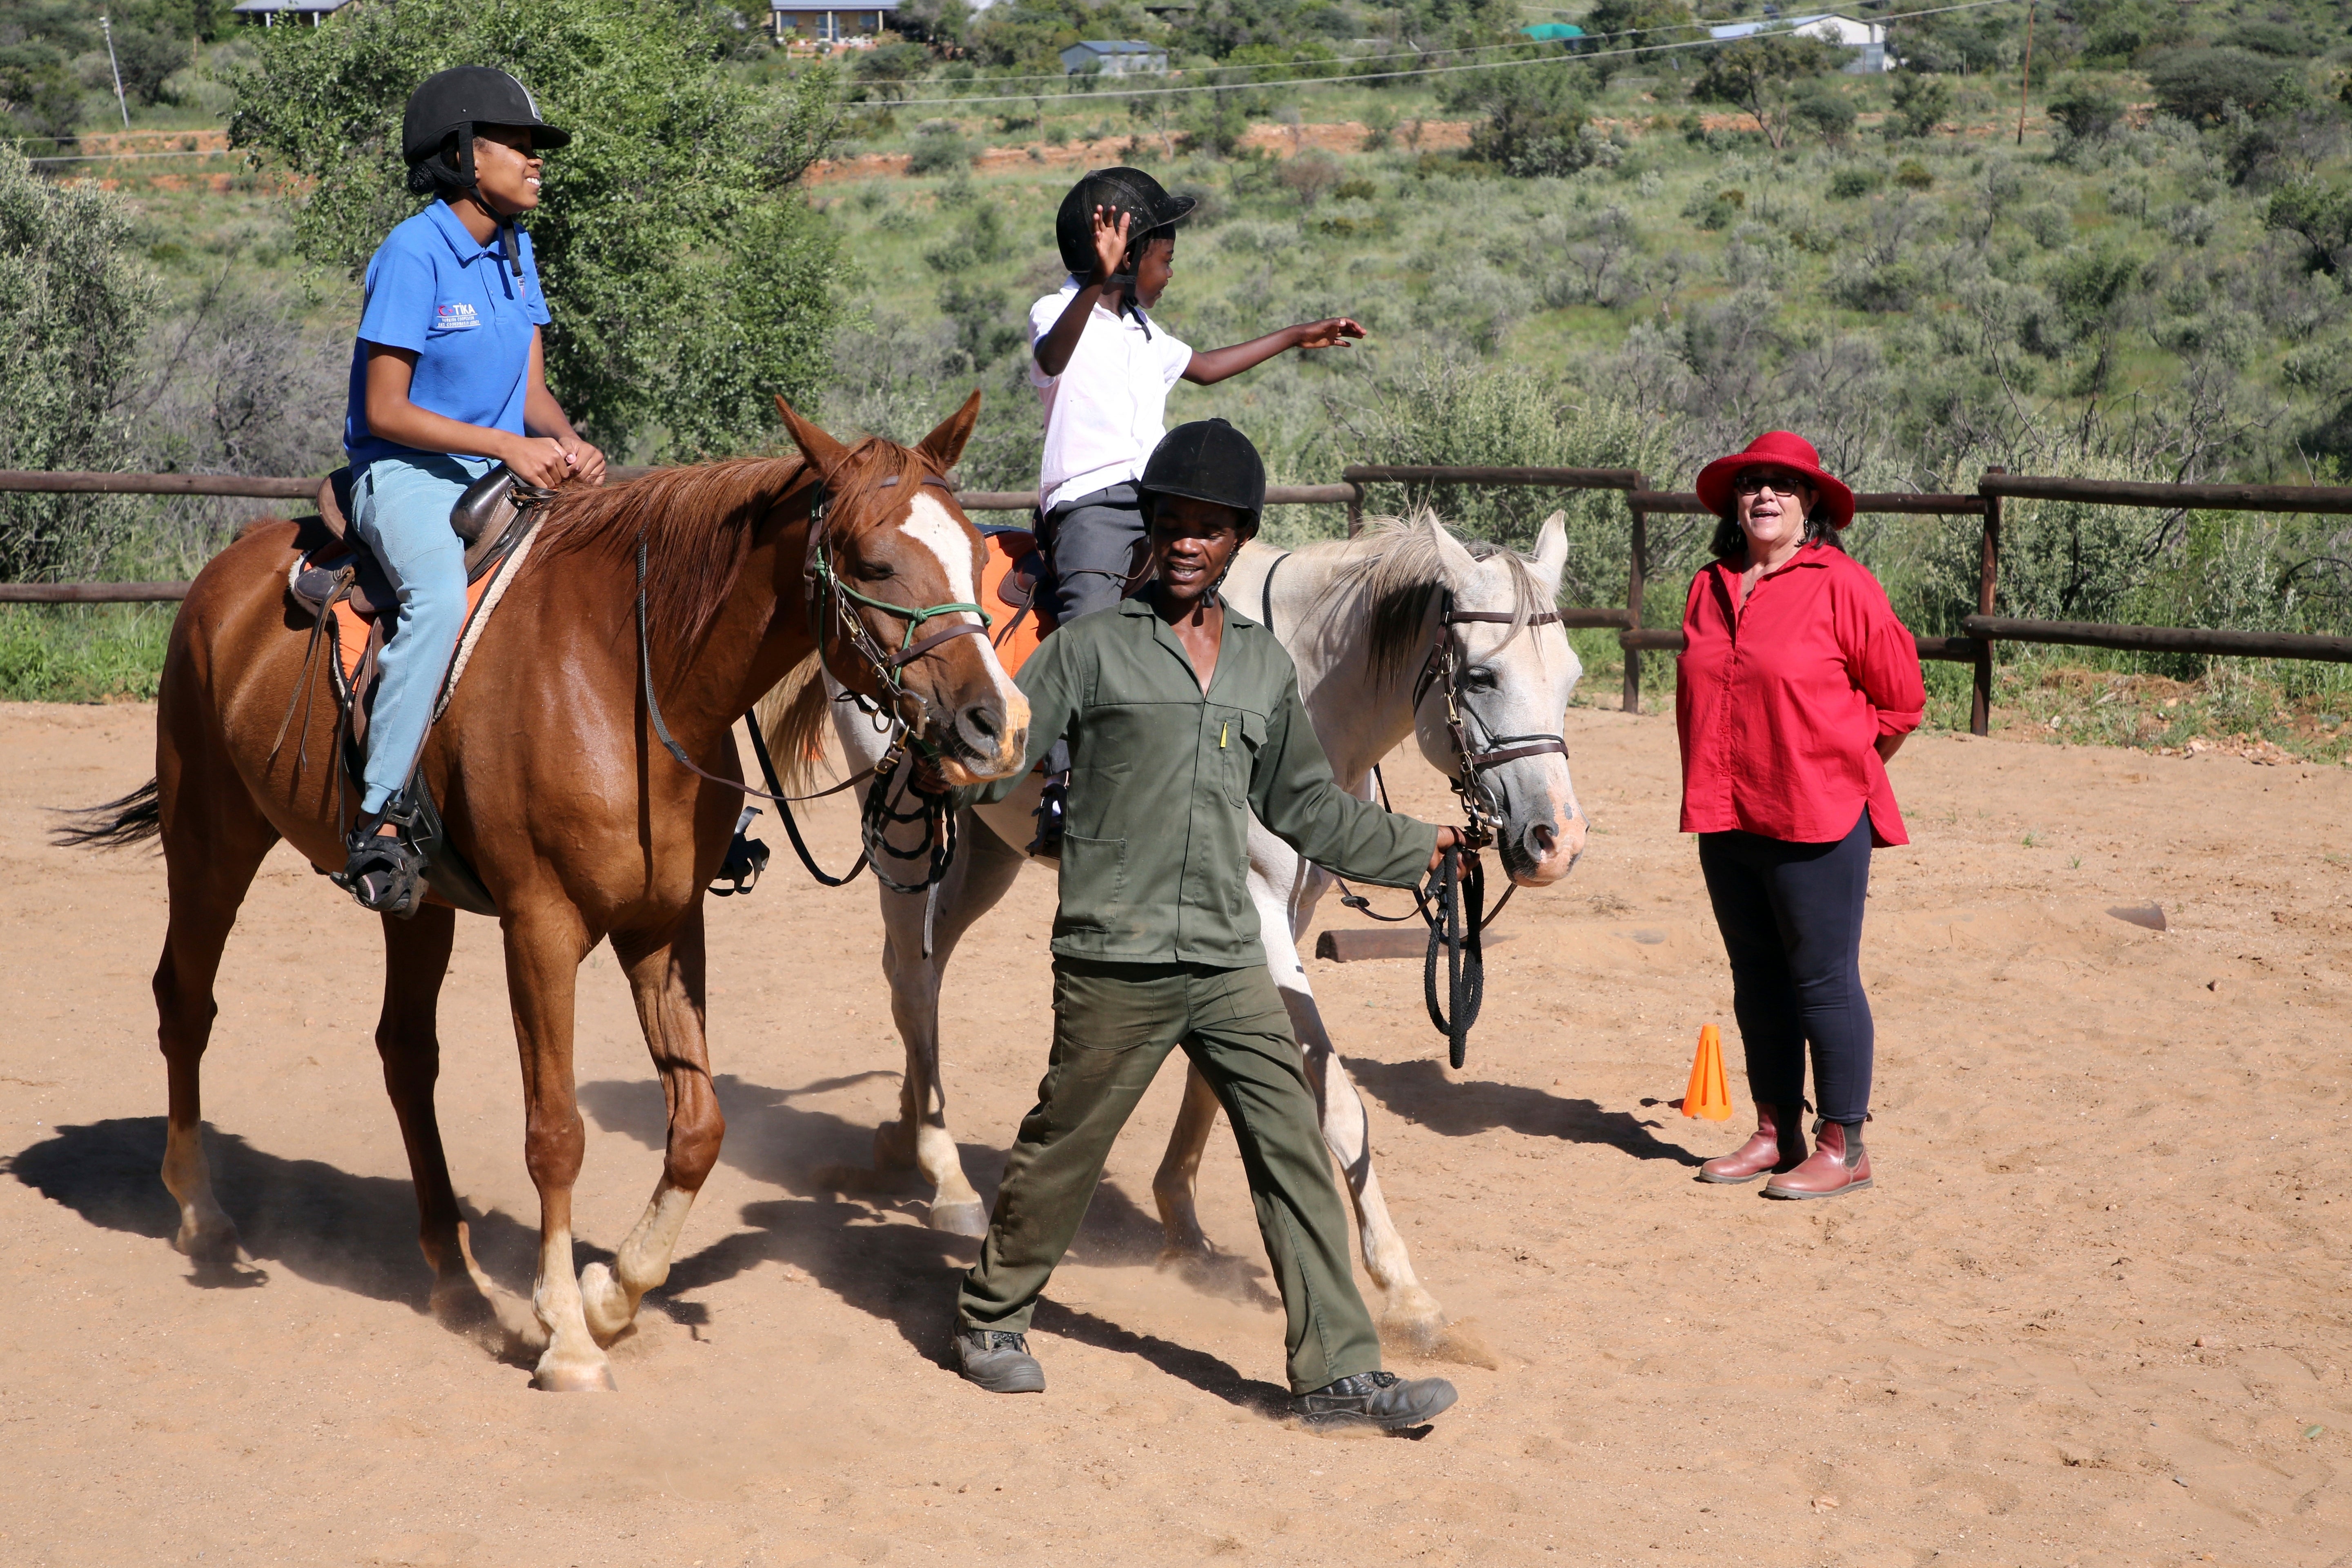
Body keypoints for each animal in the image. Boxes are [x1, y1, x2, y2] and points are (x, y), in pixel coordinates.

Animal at [58, 396, 1027, 1392]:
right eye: (874, 562)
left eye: (974, 553)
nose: (996, 725)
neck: (628, 677)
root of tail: (223, 575)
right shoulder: (541, 928)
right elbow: (556, 1132)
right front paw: (565, 1332)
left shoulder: (666, 926)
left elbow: (700, 1128)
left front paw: (612, 1295)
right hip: (212, 841)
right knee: (187, 1002)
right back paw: (203, 1216)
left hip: (418, 905)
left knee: (405, 1054)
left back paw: (453, 1275)